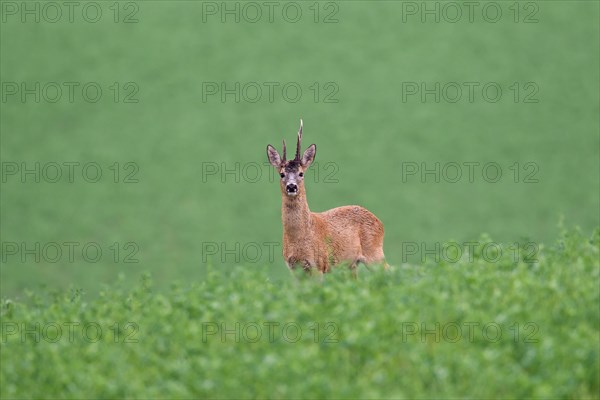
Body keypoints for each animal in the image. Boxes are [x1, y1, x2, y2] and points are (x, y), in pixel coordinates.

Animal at [268, 119, 390, 276]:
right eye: (282, 174)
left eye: (301, 173)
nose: (291, 186)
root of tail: (380, 222)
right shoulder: (294, 269)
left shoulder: (318, 265)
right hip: (351, 265)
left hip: (374, 253)